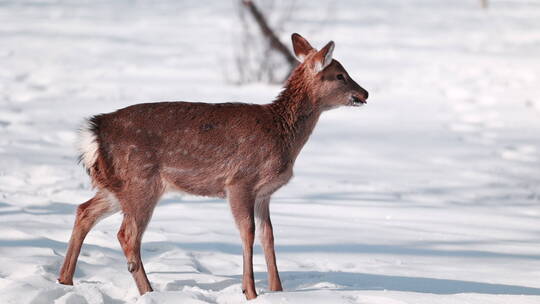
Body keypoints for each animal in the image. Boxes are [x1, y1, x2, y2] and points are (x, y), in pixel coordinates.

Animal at [58, 33, 368, 300]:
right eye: (340, 75)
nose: (364, 93)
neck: (281, 133)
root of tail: (94, 132)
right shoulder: (240, 181)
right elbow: (248, 233)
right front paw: (250, 292)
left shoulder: (265, 193)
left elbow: (268, 236)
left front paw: (277, 291)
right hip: (141, 180)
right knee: (127, 235)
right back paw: (149, 292)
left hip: (117, 185)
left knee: (84, 210)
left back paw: (65, 280)